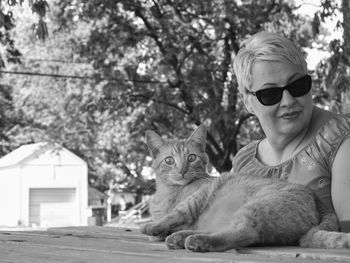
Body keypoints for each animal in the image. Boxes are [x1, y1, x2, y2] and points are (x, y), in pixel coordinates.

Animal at [141, 126, 350, 254]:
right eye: (169, 160)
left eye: (191, 158)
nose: (182, 170)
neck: (169, 193)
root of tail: (316, 199)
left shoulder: (195, 199)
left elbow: (174, 214)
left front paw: (152, 226)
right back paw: (180, 237)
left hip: (256, 207)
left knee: (243, 233)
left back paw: (196, 240)